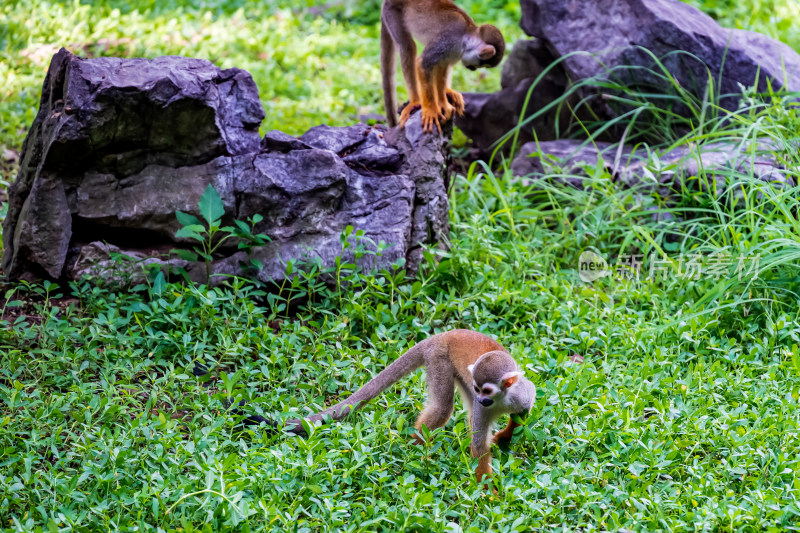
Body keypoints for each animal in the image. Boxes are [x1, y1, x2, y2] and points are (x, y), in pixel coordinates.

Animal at [247, 328, 536, 482]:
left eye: (486, 390)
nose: (481, 398)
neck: (500, 400)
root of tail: (443, 335)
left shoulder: (521, 393)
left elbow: (523, 412)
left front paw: (505, 436)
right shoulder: (482, 405)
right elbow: (479, 446)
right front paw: (488, 492)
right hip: (439, 359)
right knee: (443, 408)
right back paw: (414, 450)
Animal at [382, 0, 506, 133]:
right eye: (482, 63)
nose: (473, 69)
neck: (465, 36)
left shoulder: (454, 50)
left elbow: (442, 65)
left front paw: (443, 102)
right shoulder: (448, 40)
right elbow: (423, 62)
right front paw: (431, 109)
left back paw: (447, 91)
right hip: (391, 11)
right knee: (407, 46)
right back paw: (415, 101)